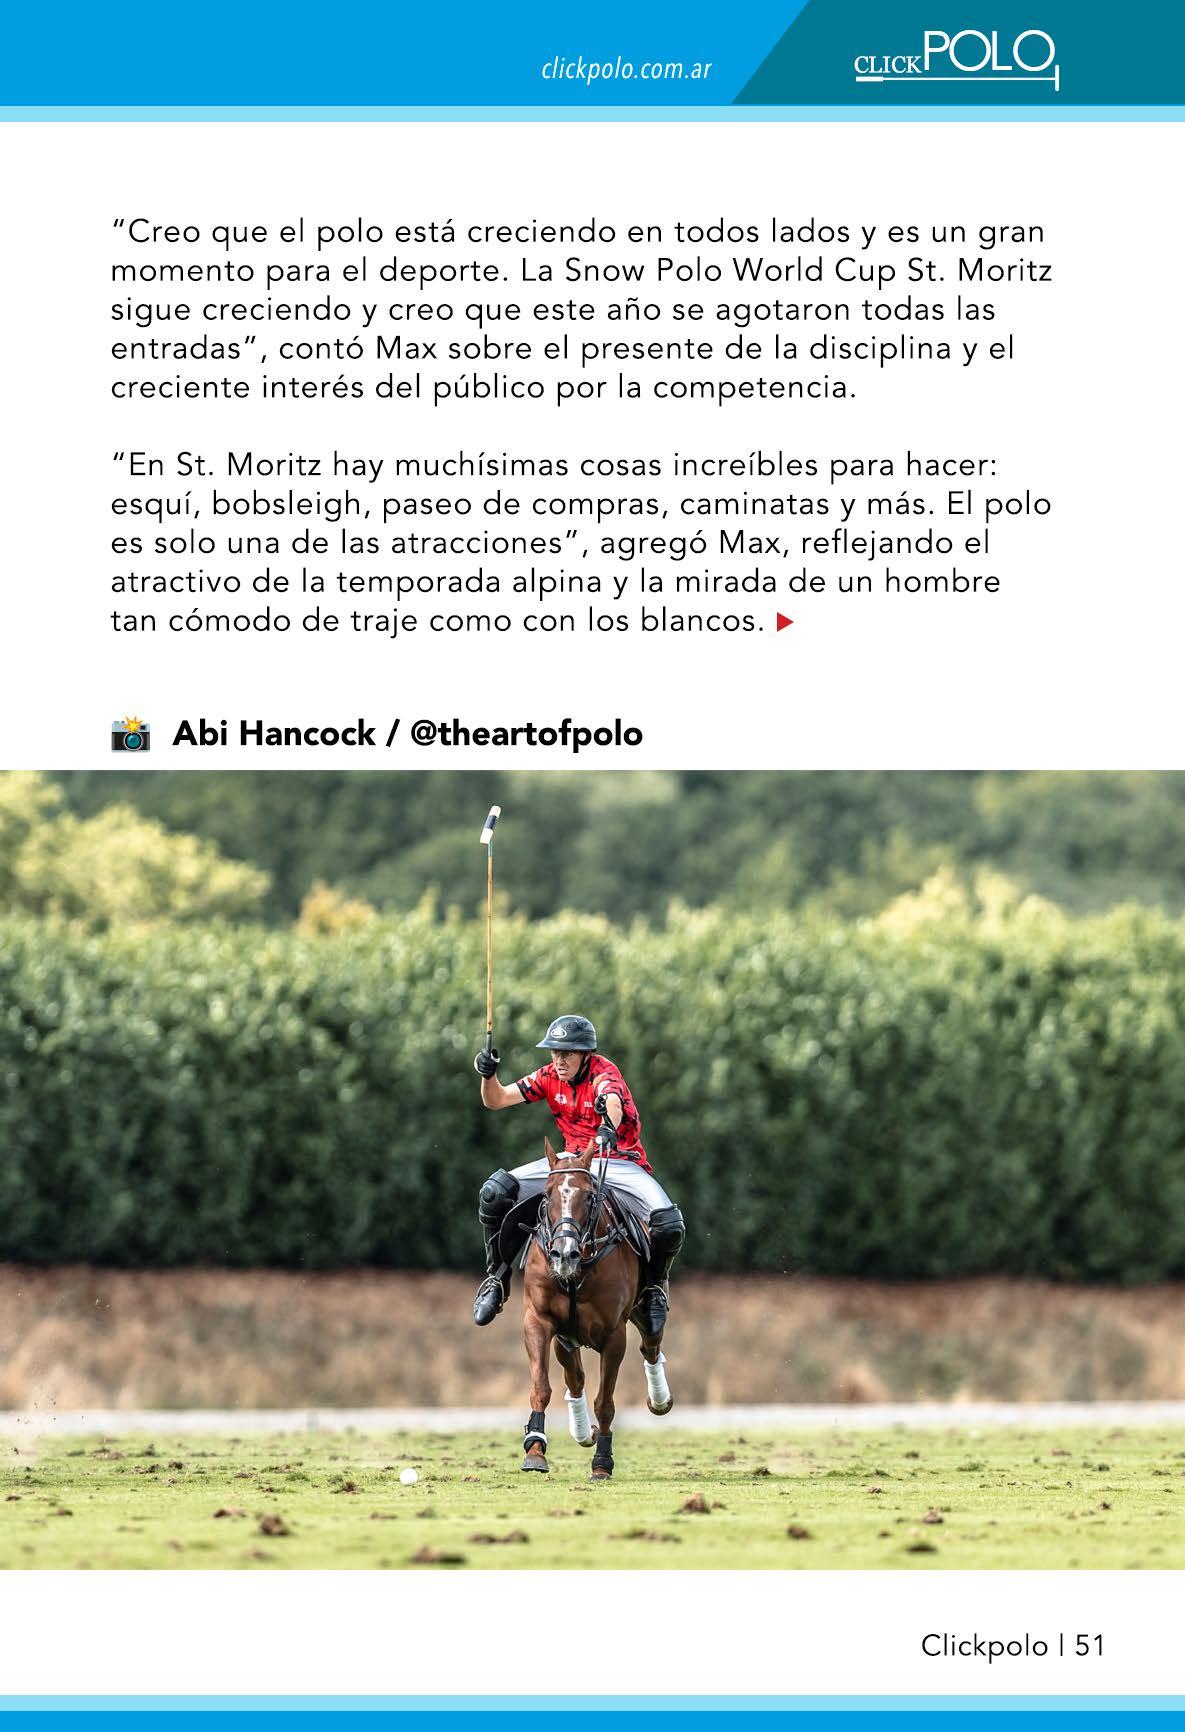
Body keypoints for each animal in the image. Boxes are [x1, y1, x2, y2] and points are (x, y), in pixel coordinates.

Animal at [519, 1136, 673, 1481]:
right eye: (546, 1194)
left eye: (589, 1196)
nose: (564, 1254)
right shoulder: (538, 1320)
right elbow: (541, 1386)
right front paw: (535, 1449)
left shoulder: (614, 1335)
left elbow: (606, 1402)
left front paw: (602, 1463)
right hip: (566, 1336)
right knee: (574, 1377)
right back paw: (581, 1431)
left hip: (641, 1312)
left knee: (651, 1345)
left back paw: (659, 1400)